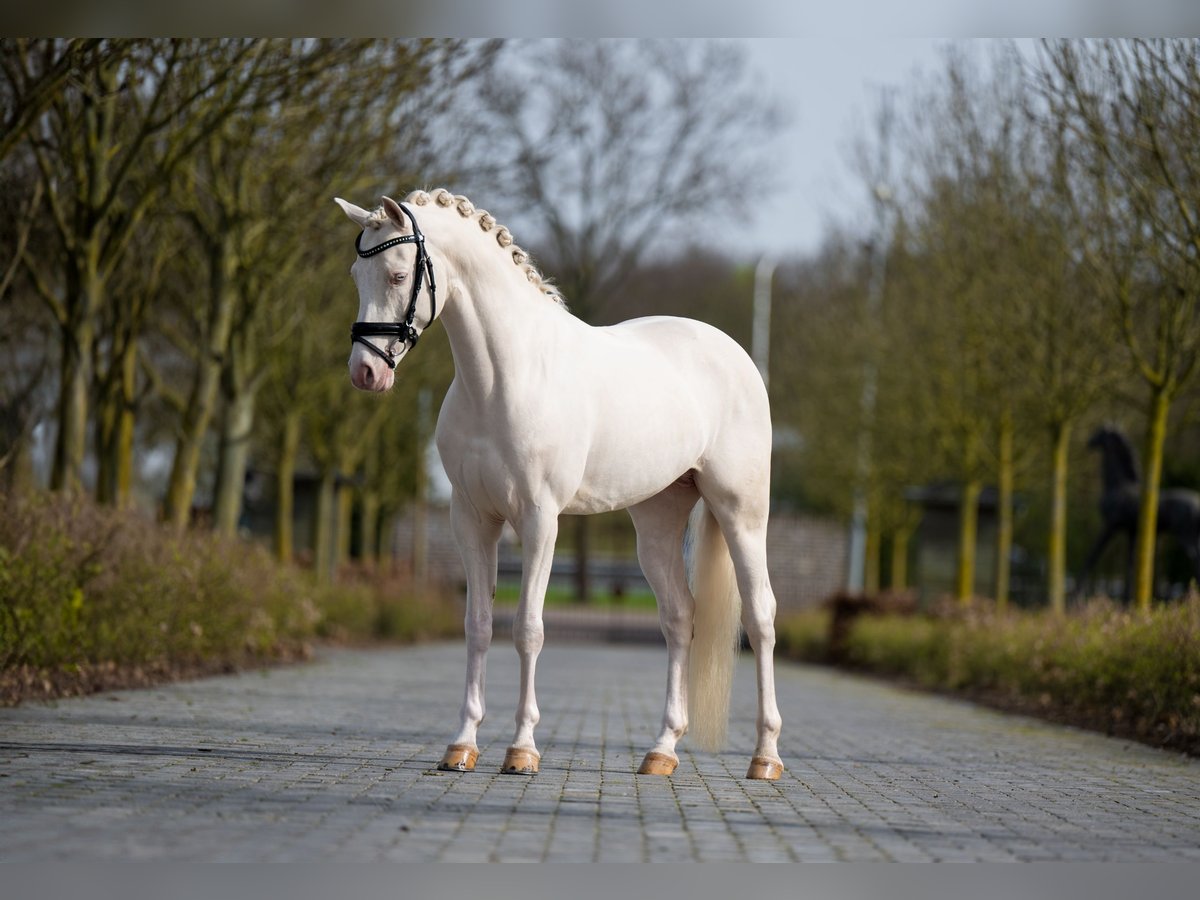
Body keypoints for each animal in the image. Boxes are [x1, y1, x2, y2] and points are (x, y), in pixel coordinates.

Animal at [338, 188, 787, 782]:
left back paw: (766, 756)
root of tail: (735, 356)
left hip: (741, 512)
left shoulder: (539, 520)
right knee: (679, 617)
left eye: (395, 274)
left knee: (760, 618)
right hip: (657, 522)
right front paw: (461, 745)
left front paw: (522, 750)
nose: (365, 373)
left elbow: (528, 628)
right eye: (355, 275)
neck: (504, 378)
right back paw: (661, 751)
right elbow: (478, 625)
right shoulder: (472, 521)